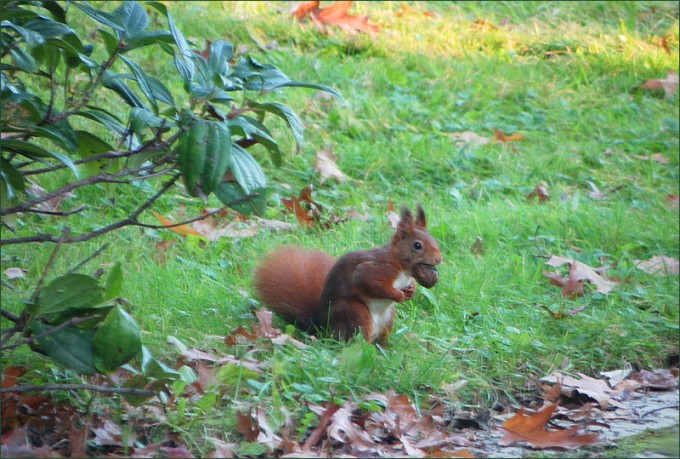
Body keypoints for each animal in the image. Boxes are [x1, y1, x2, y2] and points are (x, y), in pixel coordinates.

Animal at [253, 205, 442, 345]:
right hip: (355, 313)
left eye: (434, 240)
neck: (401, 267)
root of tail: (324, 327)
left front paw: (411, 291)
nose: (439, 259)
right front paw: (397, 295)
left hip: (388, 320)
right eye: (417, 245)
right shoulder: (374, 270)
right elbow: (373, 284)